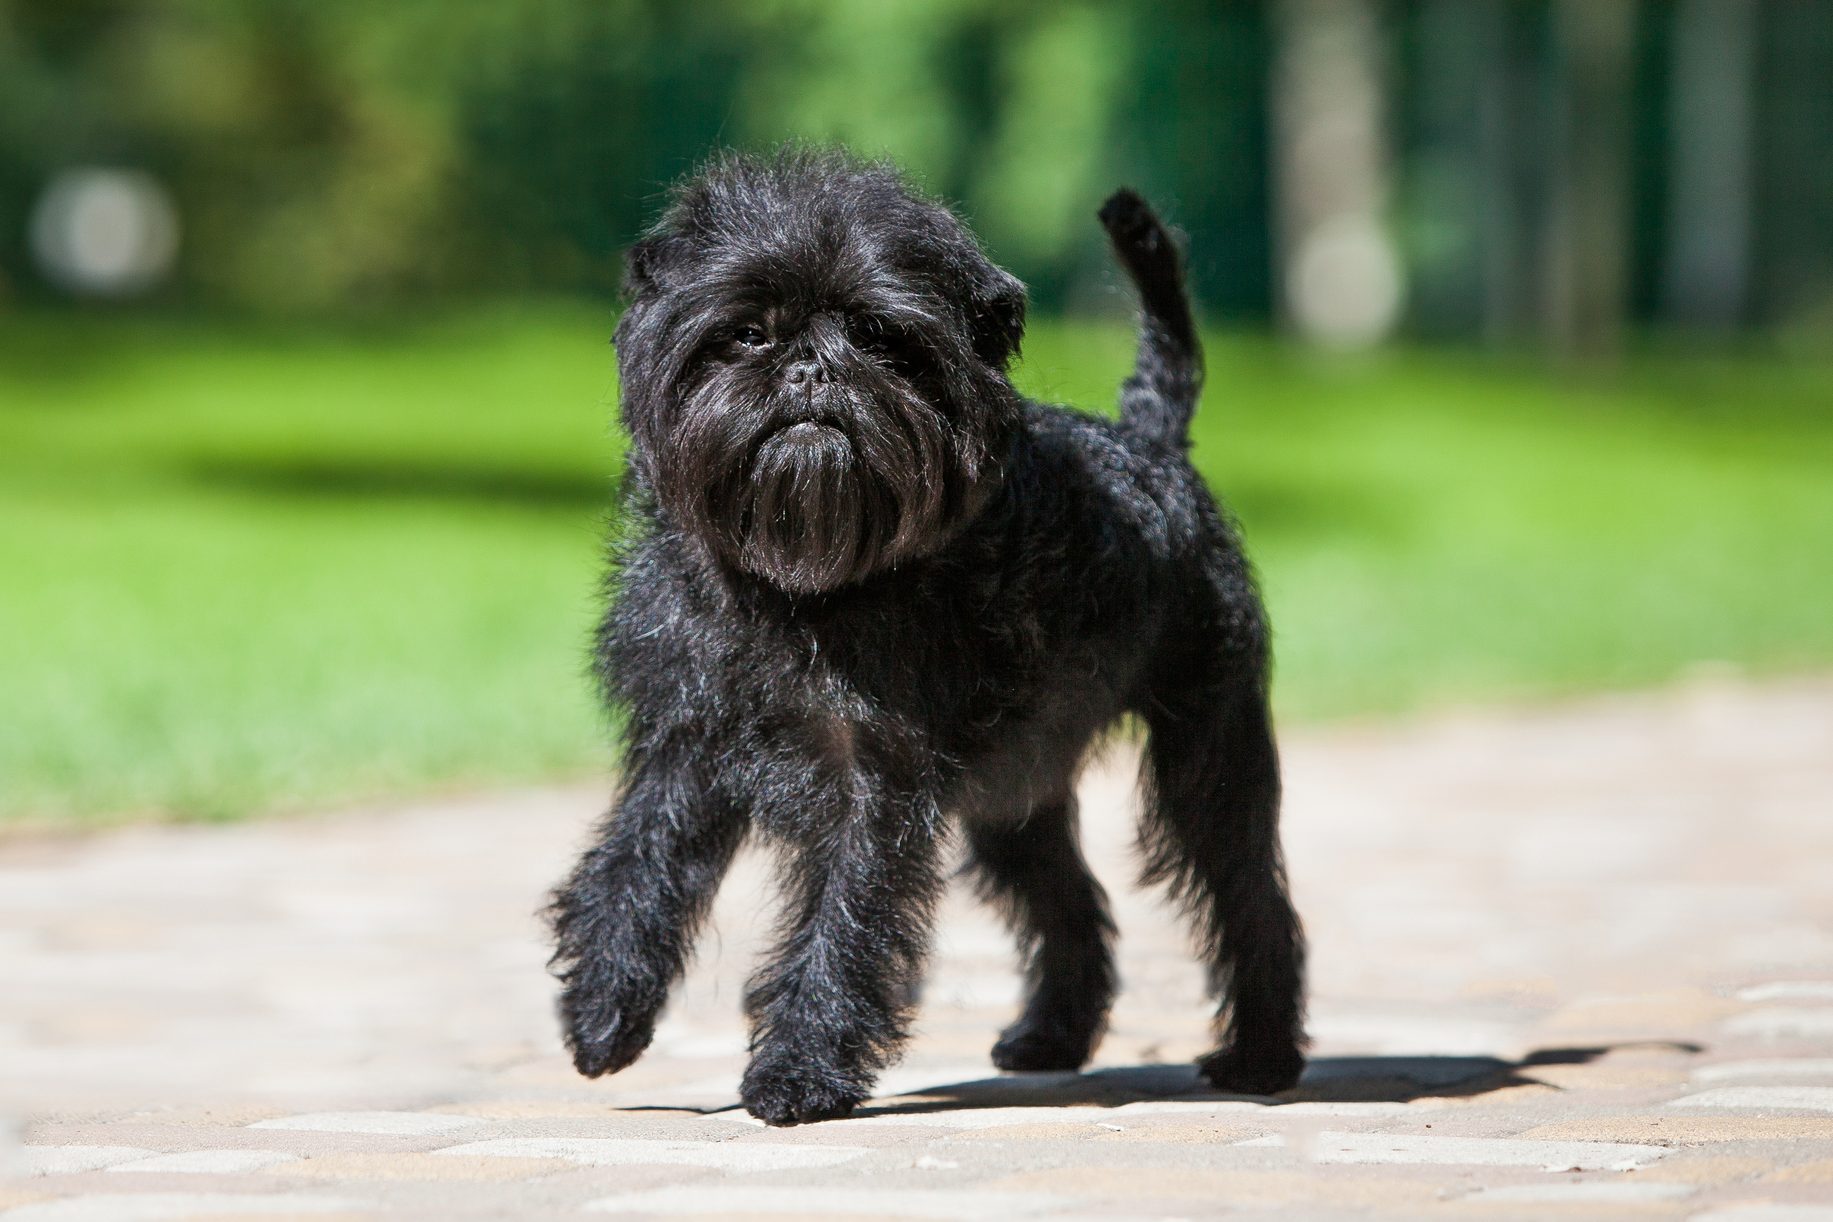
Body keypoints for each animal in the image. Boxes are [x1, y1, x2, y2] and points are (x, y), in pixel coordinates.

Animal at [542, 150, 1305, 1128]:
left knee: (1246, 893)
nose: (809, 368)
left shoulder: (872, 781)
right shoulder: (686, 743)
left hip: (1205, 748)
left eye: (877, 337)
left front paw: (798, 1072)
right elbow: (635, 867)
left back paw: (1260, 1056)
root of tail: (1151, 440)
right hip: (1015, 788)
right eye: (746, 335)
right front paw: (603, 1008)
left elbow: (843, 918)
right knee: (1067, 898)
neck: (801, 589)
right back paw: (1052, 1038)